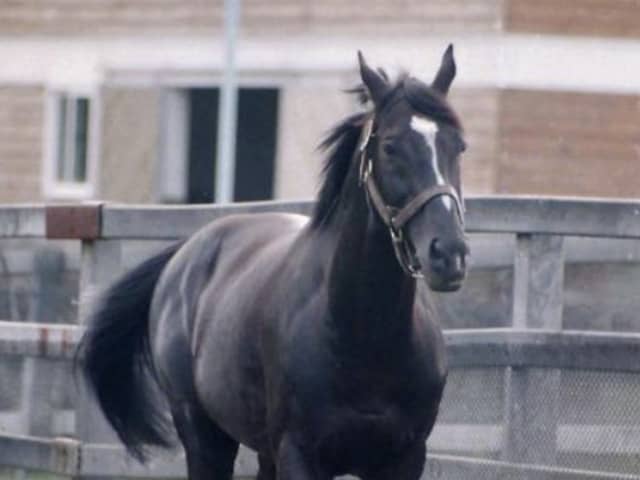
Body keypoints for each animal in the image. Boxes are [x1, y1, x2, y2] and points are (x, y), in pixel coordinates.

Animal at [80, 45, 469, 480]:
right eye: (390, 146)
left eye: (459, 146)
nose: (448, 253)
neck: (364, 339)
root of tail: (186, 252)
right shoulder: (298, 454)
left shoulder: (405, 459)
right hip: (204, 437)